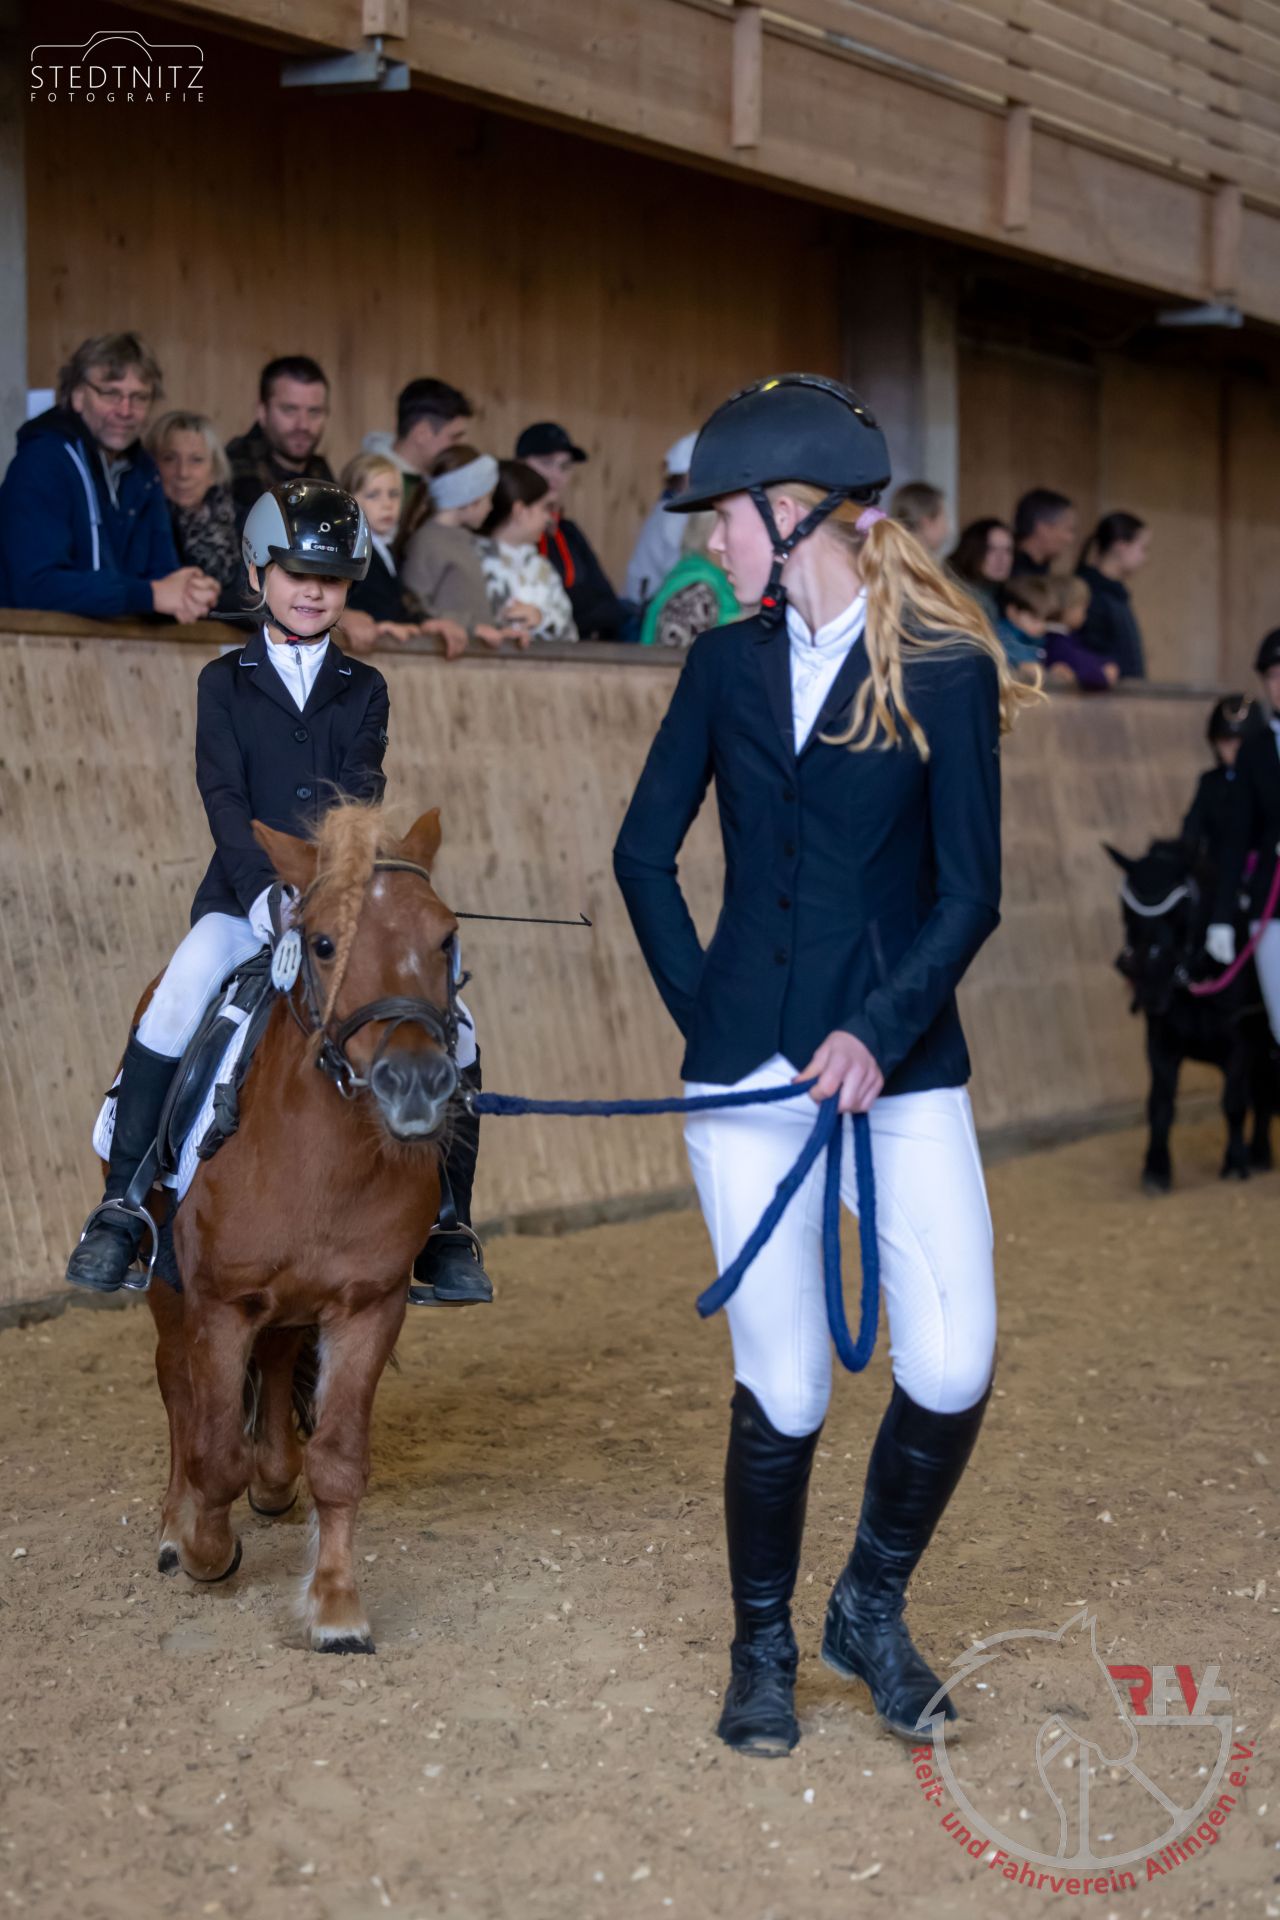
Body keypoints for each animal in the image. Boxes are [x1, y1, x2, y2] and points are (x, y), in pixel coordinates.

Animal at [142, 802, 464, 1651]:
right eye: (321, 942)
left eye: (445, 937)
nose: (415, 1084)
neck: (324, 1159)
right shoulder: (218, 1302)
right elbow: (215, 1450)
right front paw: (205, 1550)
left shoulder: (368, 1304)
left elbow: (339, 1458)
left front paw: (336, 1605)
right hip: (165, 1285)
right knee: (177, 1385)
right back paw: (174, 1526)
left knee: (280, 1365)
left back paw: (274, 1481)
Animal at [1106, 838, 1274, 1192]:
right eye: (1125, 907)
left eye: (1183, 904)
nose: (1144, 978)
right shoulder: (1160, 1043)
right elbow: (1160, 1104)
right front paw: (1156, 1170)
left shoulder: (1240, 1042)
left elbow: (1233, 1102)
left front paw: (1235, 1163)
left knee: (1263, 1090)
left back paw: (1259, 1153)